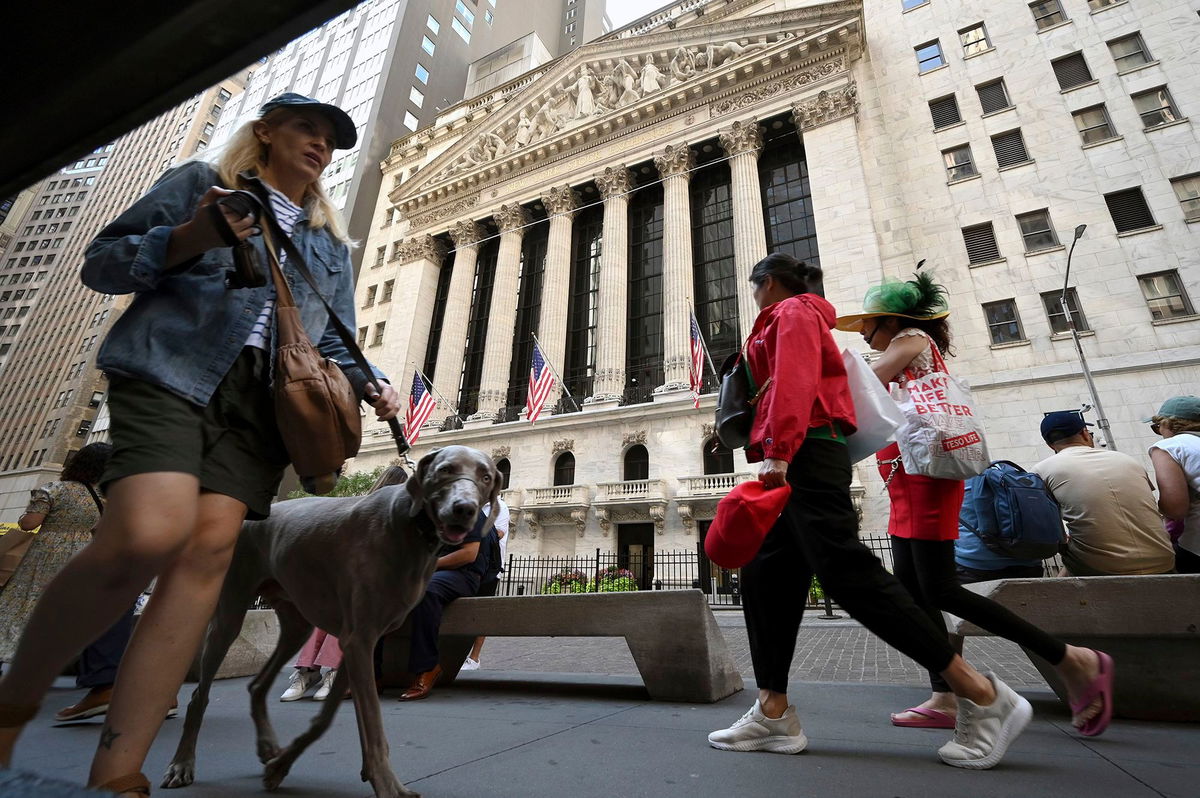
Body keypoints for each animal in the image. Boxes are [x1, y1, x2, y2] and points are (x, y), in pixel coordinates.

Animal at [162, 444, 499, 796]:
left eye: (486, 477)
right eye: (445, 470)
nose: (464, 509)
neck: (411, 528)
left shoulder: (358, 643)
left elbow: (328, 717)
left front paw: (280, 766)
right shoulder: (358, 640)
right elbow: (370, 721)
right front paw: (386, 784)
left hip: (297, 624)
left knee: (257, 684)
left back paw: (268, 747)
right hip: (230, 612)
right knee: (200, 695)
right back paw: (182, 764)